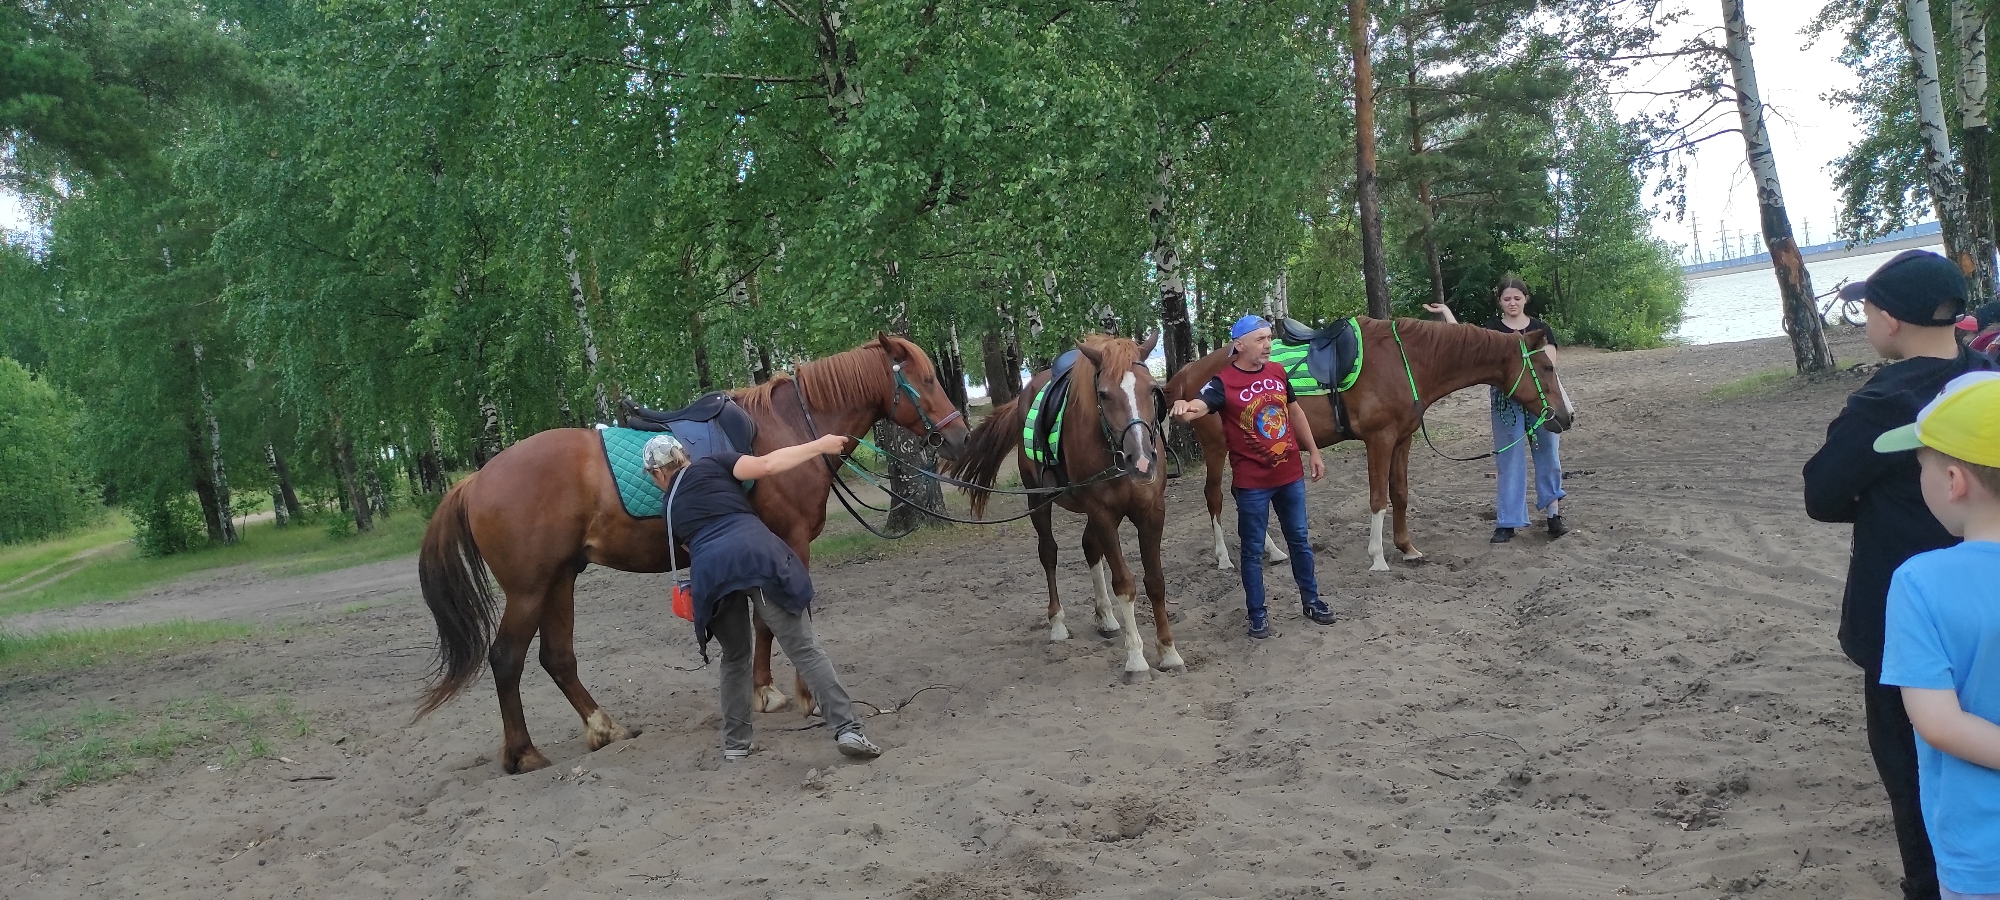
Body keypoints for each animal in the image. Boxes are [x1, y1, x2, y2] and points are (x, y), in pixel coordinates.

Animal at [416, 334, 970, 774]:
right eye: (925, 377)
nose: (959, 437)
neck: (790, 430)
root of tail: (476, 480)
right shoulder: (789, 543)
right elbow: (786, 621)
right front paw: (802, 696)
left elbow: (761, 624)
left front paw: (763, 691)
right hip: (530, 589)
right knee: (506, 659)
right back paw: (524, 754)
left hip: (560, 580)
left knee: (557, 658)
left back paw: (605, 728)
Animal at [942, 332, 1178, 684]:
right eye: (1104, 394)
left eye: (1152, 390)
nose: (1142, 460)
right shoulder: (1102, 513)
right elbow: (1125, 584)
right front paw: (1136, 659)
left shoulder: (1151, 512)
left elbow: (1156, 581)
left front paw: (1169, 652)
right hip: (1040, 501)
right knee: (1049, 553)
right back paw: (1057, 623)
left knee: (1089, 547)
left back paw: (1106, 617)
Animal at [1166, 317, 1573, 573]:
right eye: (1548, 369)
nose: (1567, 416)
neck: (1405, 361)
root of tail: (1188, 372)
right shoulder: (1380, 439)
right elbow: (1378, 497)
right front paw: (1378, 557)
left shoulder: (1402, 440)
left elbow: (1400, 493)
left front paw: (1407, 549)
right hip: (1217, 449)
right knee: (1215, 497)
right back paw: (1223, 558)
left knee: (1240, 495)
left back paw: (1274, 551)